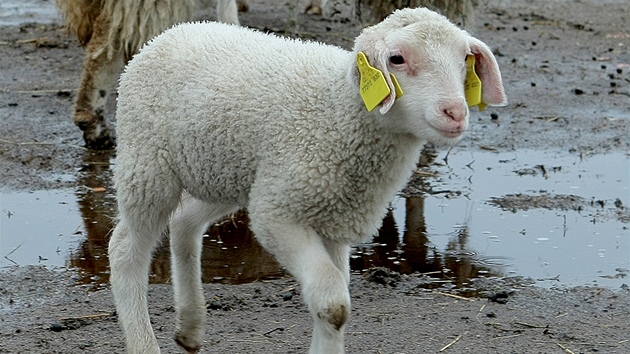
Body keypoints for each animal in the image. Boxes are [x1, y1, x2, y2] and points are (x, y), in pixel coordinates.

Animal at [108, 6, 508, 354]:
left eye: (464, 60)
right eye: (397, 59)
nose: (455, 112)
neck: (338, 111)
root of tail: (172, 32)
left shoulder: (332, 217)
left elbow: (332, 301)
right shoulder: (279, 214)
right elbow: (333, 301)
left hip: (227, 173)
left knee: (183, 223)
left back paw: (190, 327)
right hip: (147, 165)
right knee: (125, 249)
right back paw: (144, 342)